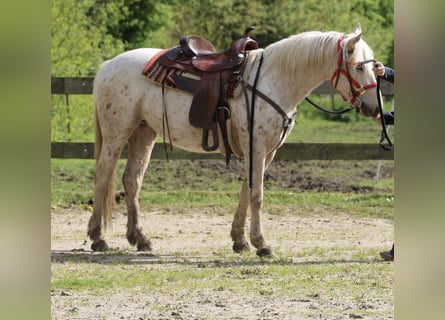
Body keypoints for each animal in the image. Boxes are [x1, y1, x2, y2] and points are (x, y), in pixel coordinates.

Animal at [88, 23, 380, 256]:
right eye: (357, 67)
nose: (374, 108)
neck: (274, 80)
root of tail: (107, 66)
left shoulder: (265, 152)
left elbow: (246, 192)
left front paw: (240, 241)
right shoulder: (258, 148)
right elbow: (257, 195)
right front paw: (261, 244)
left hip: (143, 133)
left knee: (132, 180)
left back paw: (140, 239)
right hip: (117, 133)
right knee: (102, 175)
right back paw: (98, 237)